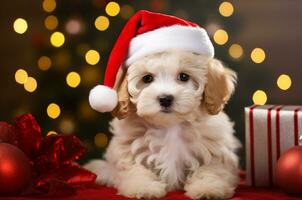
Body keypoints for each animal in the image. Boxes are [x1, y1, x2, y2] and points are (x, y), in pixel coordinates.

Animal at [84, 50, 241, 199]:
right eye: (147, 78)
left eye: (184, 76)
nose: (165, 99)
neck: (169, 126)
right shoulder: (128, 151)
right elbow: (135, 169)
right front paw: (143, 187)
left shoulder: (215, 151)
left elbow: (212, 169)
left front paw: (208, 188)